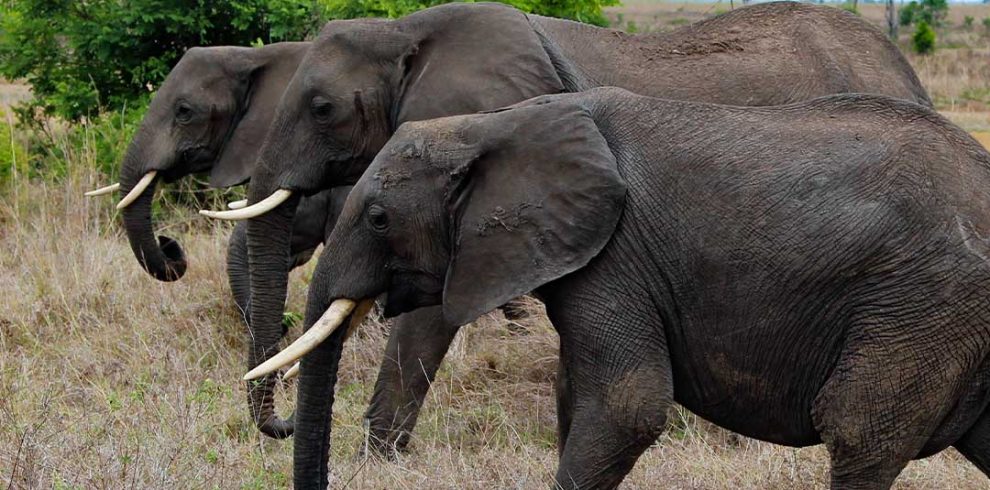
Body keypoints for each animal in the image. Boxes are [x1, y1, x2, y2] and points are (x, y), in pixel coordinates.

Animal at [203, 0, 936, 452]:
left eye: (322, 108)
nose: (285, 425)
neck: (409, 30)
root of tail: (907, 72)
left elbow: (434, 312)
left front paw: (376, 457)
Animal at [256, 86, 990, 488]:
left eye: (379, 218)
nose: (285, 425)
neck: (496, 123)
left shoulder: (616, 259)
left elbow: (626, 407)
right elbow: (578, 400)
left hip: (919, 303)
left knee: (858, 432)